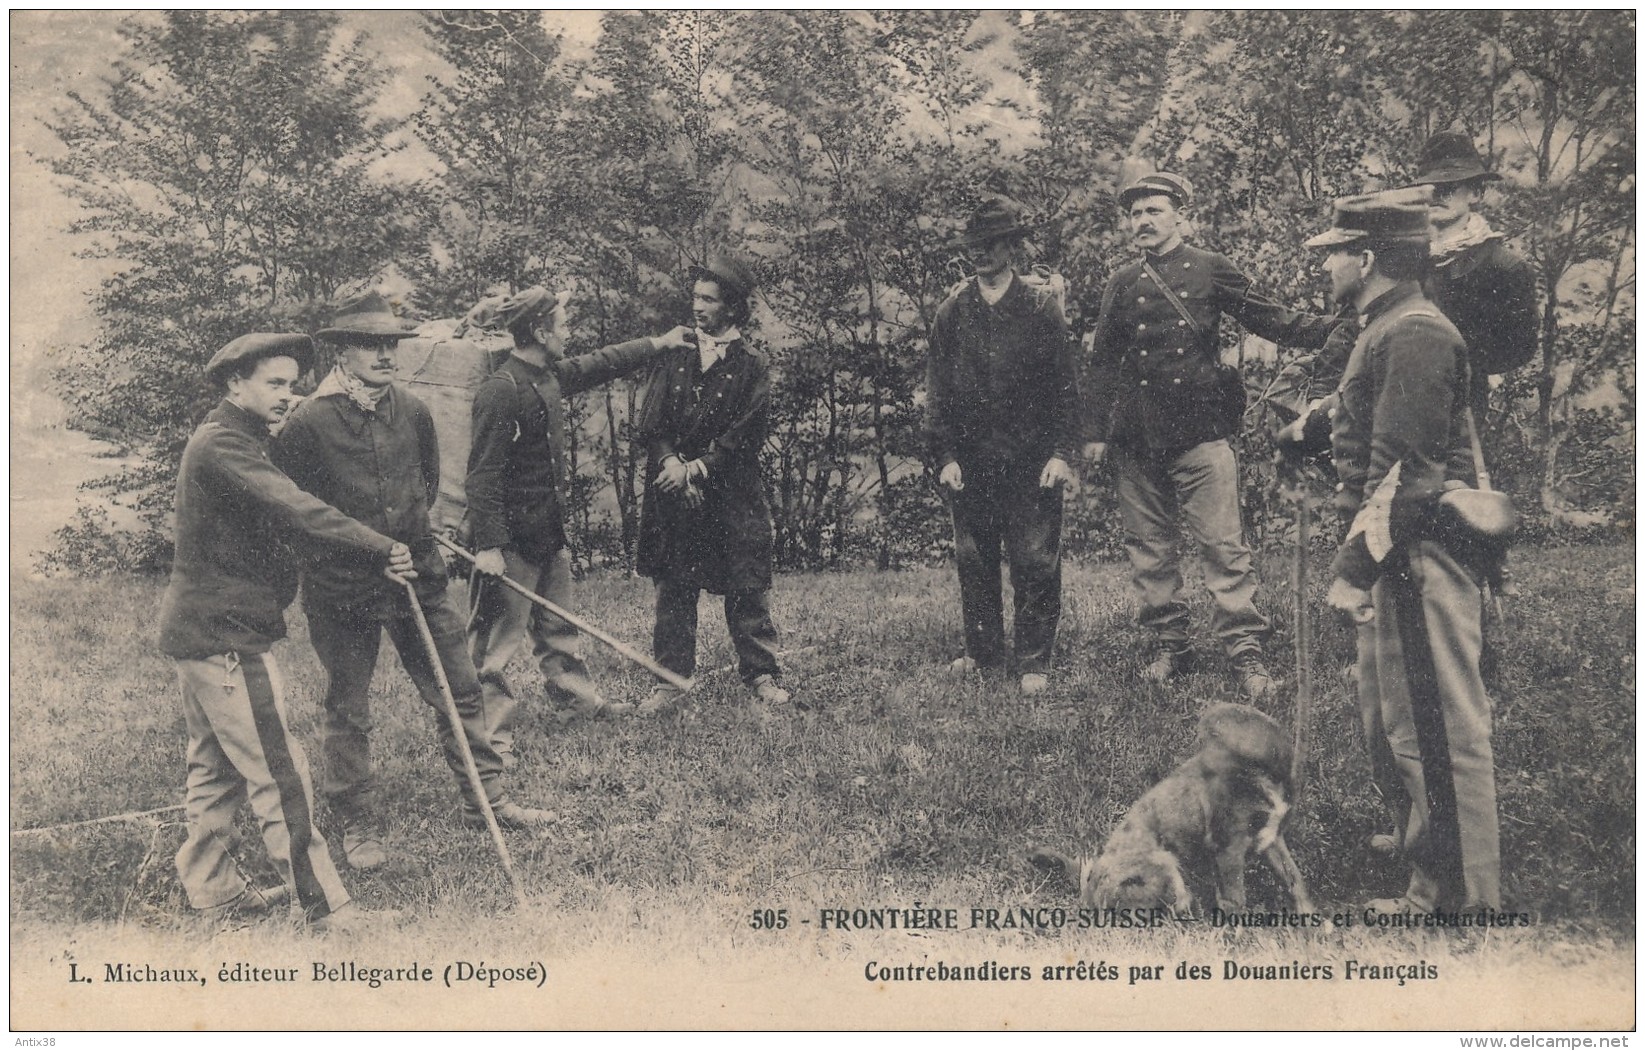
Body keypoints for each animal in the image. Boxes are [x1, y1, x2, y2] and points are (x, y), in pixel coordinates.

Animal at [1033, 703, 1316, 914]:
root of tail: (1088, 889)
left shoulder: (1272, 839)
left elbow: (1295, 880)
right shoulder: (1229, 851)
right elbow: (1235, 901)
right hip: (1164, 862)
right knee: (1174, 908)